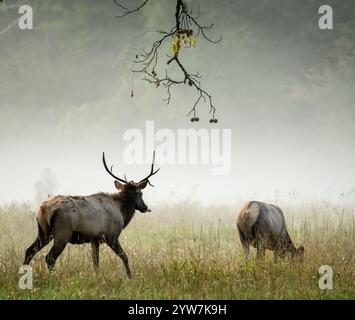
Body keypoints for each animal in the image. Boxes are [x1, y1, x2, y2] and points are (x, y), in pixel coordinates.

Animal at [23, 151, 160, 276]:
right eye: (140, 193)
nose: (145, 207)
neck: (122, 211)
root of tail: (43, 209)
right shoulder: (112, 235)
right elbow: (124, 256)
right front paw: (130, 277)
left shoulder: (95, 239)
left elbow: (96, 264)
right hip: (62, 233)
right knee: (49, 257)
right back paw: (55, 277)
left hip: (44, 232)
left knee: (29, 251)